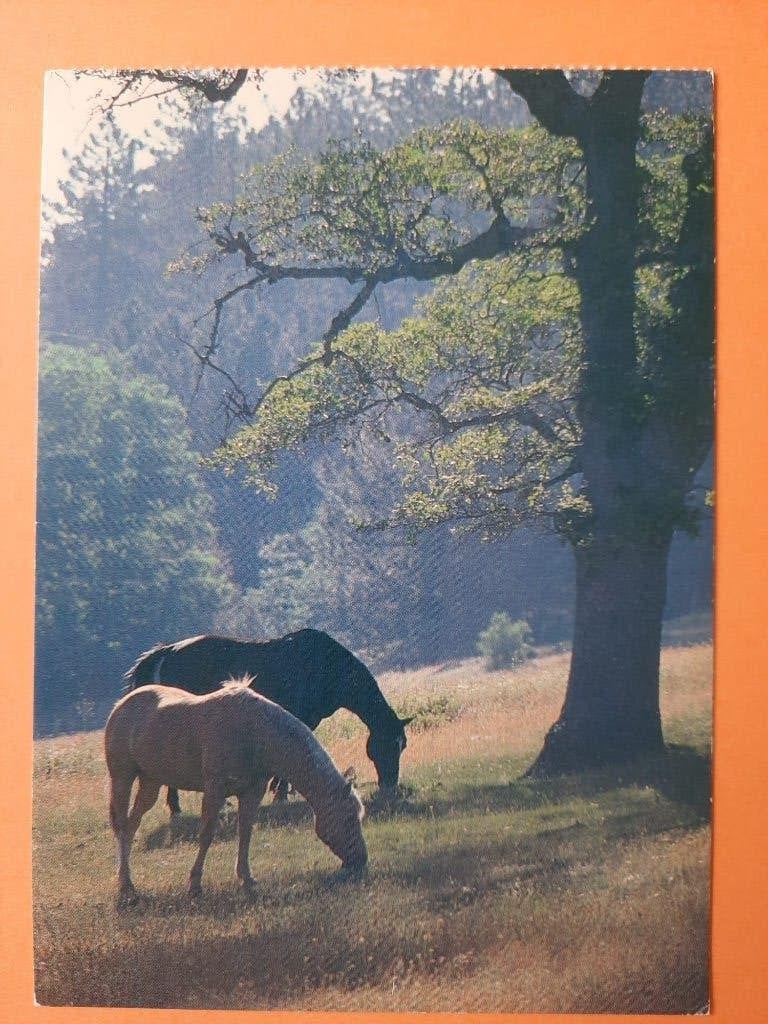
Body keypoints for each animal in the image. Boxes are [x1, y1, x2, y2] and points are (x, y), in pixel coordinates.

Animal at [105, 681, 368, 902]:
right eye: (348, 818)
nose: (361, 861)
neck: (255, 731)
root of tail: (121, 704)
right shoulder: (214, 790)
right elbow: (207, 834)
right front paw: (195, 885)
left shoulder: (252, 792)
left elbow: (245, 833)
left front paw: (246, 878)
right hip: (122, 778)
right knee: (122, 826)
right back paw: (126, 885)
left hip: (151, 783)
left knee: (132, 825)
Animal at [124, 629, 412, 814]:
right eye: (387, 745)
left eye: (403, 745)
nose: (389, 785)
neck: (325, 667)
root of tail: (165, 651)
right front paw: (281, 792)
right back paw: (177, 806)